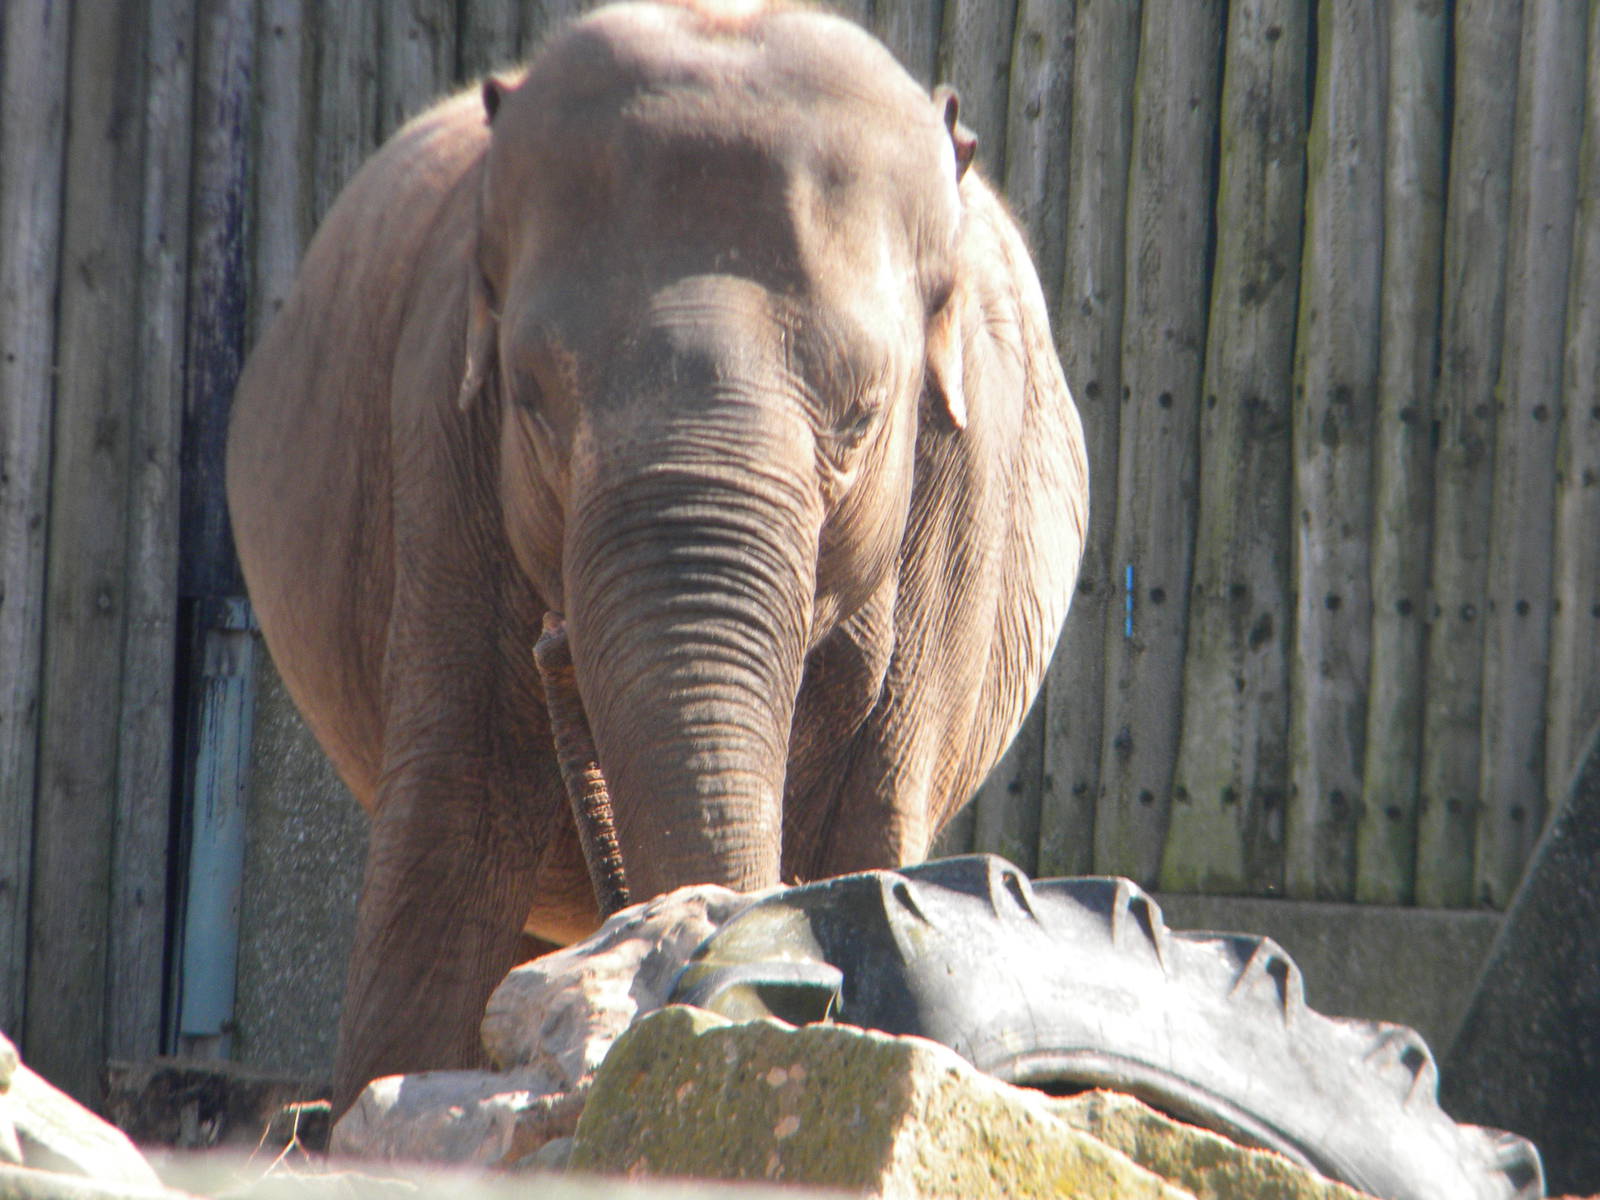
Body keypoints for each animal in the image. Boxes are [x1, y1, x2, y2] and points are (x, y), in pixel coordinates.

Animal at [226, 0, 1088, 1114]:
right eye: (531, 402)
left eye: (863, 418)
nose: (555, 646)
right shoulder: (438, 444)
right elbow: (454, 830)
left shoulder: (965, 484)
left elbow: (868, 831)